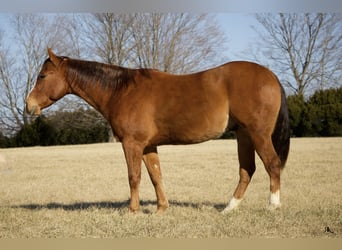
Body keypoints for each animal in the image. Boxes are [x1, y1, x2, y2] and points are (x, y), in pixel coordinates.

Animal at [26, 47, 288, 213]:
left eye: (43, 75)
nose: (29, 106)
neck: (121, 91)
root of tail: (271, 76)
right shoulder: (148, 146)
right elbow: (155, 176)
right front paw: (162, 208)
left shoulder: (132, 143)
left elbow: (134, 177)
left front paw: (132, 210)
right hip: (243, 135)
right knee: (247, 170)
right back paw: (229, 209)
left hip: (258, 134)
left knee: (272, 164)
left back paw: (273, 206)